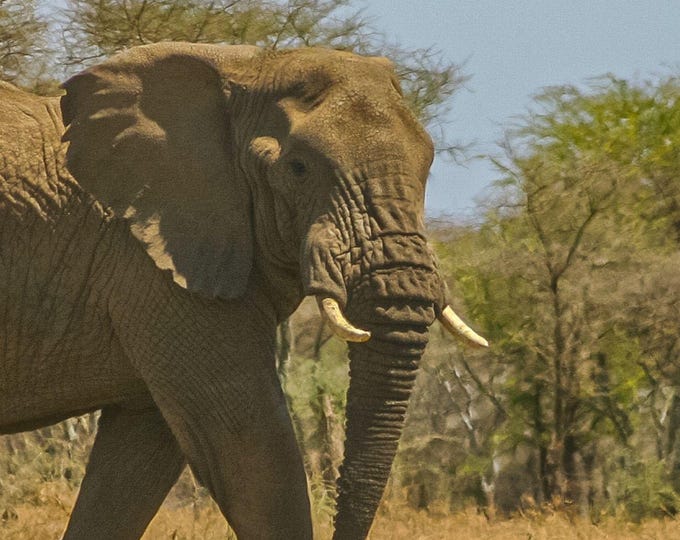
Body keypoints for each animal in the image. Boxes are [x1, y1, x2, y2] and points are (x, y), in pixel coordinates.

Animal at [0, 43, 487, 539]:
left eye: (427, 163)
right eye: (298, 168)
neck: (252, 68)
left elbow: (139, 461)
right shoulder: (153, 264)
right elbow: (252, 452)